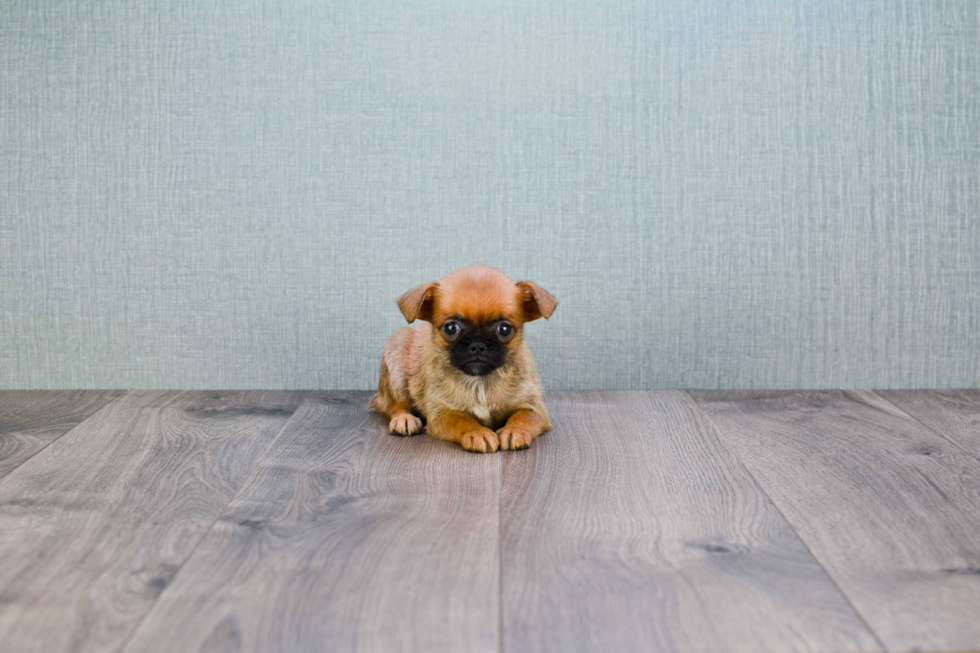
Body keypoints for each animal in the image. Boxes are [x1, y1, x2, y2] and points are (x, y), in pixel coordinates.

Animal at [370, 264, 560, 454]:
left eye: (504, 329)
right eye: (451, 328)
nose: (477, 344)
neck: (480, 382)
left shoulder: (534, 408)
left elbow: (523, 417)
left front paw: (514, 430)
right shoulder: (442, 413)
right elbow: (463, 421)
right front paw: (477, 433)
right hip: (395, 365)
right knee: (395, 405)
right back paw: (404, 419)